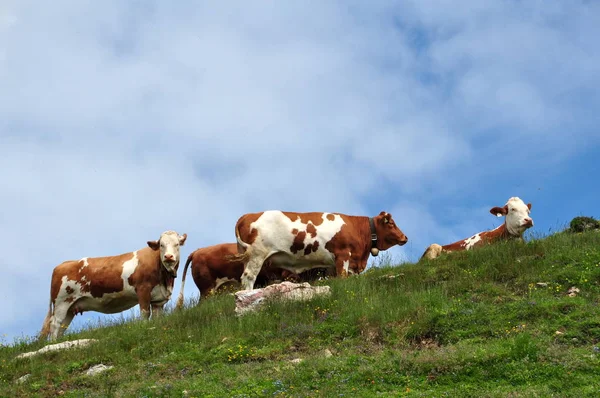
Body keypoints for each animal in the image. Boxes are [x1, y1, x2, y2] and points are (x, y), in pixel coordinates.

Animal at [38, 232, 186, 340]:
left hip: (71, 307)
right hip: (61, 301)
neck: (165, 280)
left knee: (62, 326)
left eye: (177, 244)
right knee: (55, 323)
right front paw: (145, 328)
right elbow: (145, 313)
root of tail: (62, 264)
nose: (168, 256)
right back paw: (52, 344)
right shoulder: (143, 290)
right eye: (161, 245)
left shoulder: (158, 299)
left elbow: (157, 317)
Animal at [230, 210, 408, 290]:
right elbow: (343, 276)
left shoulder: (332, 263)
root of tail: (248, 215)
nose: (405, 237)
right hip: (257, 254)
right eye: (391, 224)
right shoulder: (343, 255)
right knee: (248, 277)